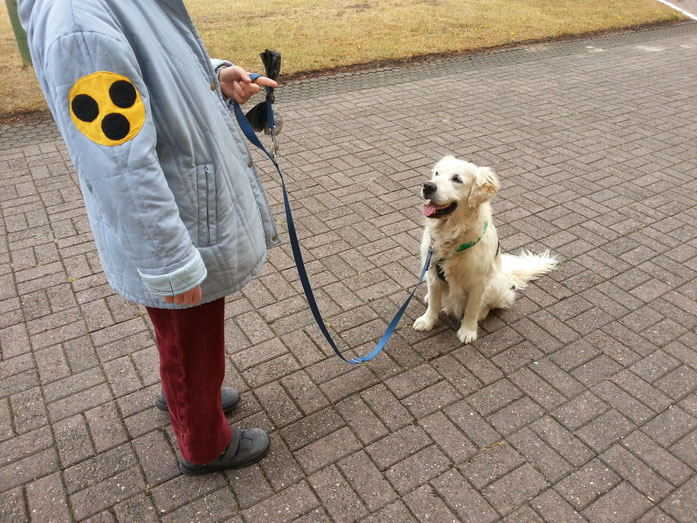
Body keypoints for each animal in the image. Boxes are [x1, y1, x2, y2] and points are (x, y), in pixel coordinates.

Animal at [414, 156, 556, 344]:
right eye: (437, 173)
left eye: (457, 179)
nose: (428, 186)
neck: (451, 234)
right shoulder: (431, 272)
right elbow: (434, 304)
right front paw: (427, 321)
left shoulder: (478, 282)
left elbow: (472, 308)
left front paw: (468, 331)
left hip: (494, 285)